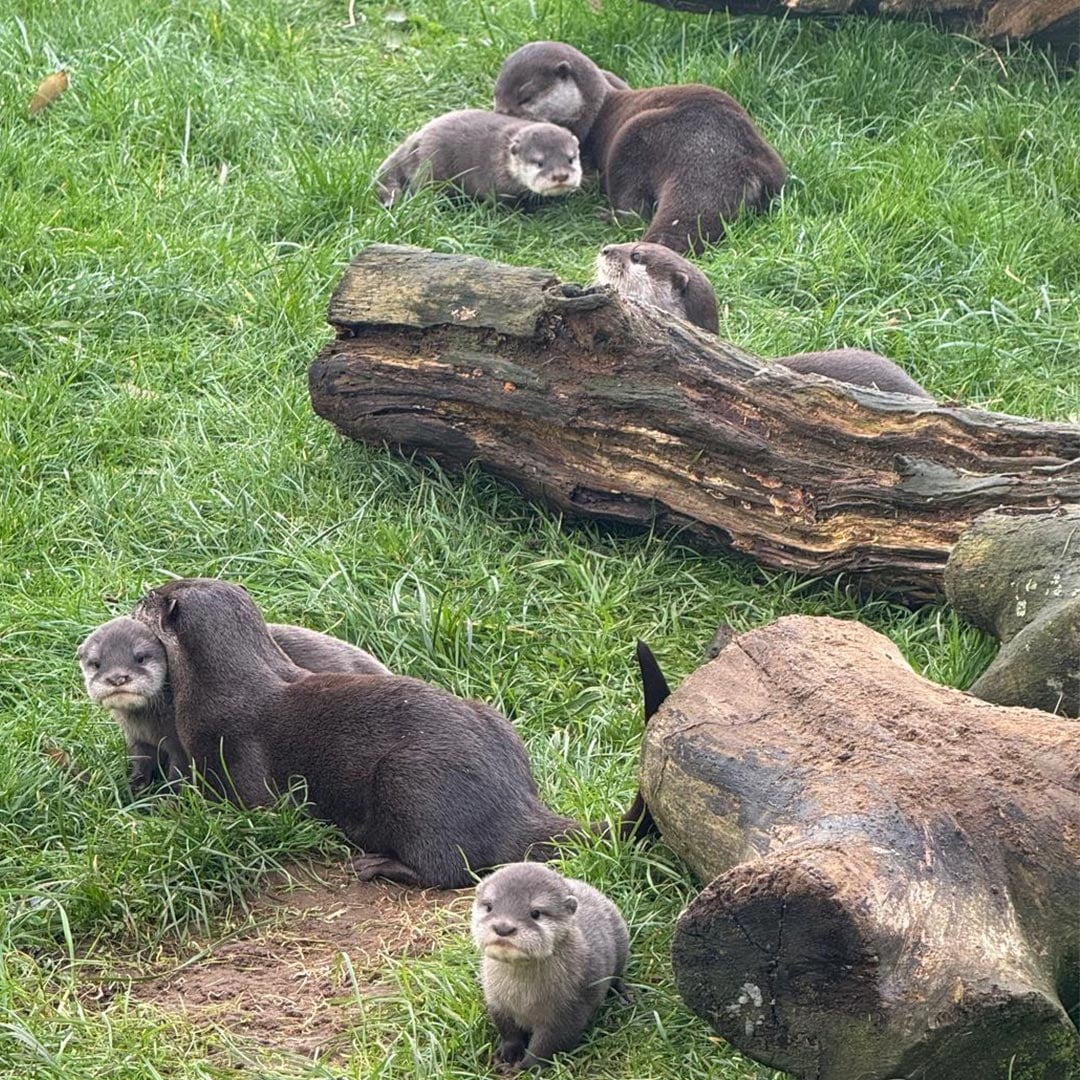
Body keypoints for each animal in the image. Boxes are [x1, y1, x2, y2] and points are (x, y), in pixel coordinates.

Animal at [77, 615, 390, 792]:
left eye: (140, 657)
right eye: (96, 663)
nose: (117, 677)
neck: (153, 725)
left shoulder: (182, 743)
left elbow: (180, 775)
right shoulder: (138, 740)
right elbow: (141, 764)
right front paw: (133, 790)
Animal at [131, 578, 592, 888]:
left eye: (149, 599)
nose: (136, 595)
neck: (224, 688)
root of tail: (516, 804)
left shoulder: (238, 760)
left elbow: (250, 808)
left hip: (411, 781)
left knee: (449, 868)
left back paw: (376, 864)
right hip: (496, 721)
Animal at [376, 109, 581, 206]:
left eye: (571, 159)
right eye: (540, 163)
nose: (561, 176)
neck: (502, 159)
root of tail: (417, 138)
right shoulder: (494, 184)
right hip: (432, 167)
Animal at [472, 862, 629, 1072]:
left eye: (536, 913)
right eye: (489, 907)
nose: (503, 927)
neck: (523, 999)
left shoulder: (569, 1010)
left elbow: (548, 1044)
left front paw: (526, 1067)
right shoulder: (496, 1002)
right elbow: (508, 1031)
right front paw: (509, 1055)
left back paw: (623, 995)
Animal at [495, 41, 785, 253]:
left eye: (525, 97)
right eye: (496, 94)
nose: (499, 113)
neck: (593, 110)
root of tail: (720, 156)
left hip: (632, 138)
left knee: (633, 209)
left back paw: (608, 216)